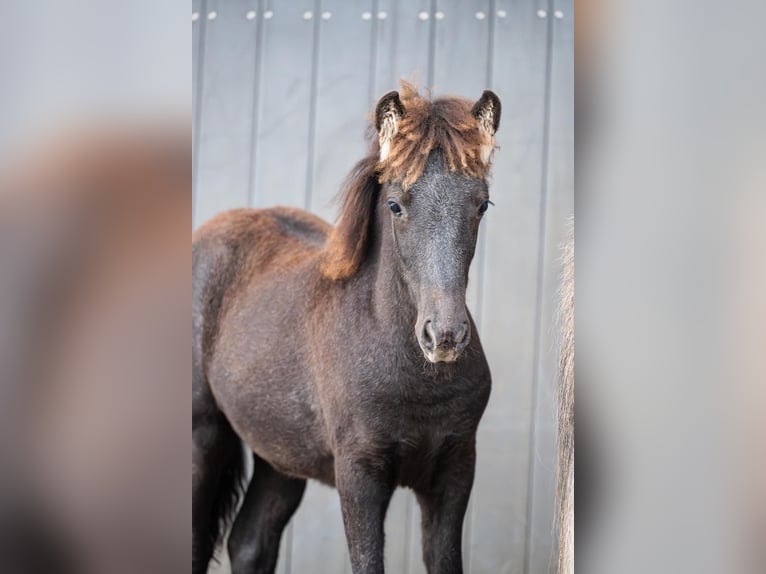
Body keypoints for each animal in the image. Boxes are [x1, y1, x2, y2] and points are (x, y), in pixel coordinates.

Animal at [192, 82, 501, 574]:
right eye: (395, 205)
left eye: (481, 204)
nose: (445, 337)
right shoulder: (359, 474)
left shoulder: (454, 471)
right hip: (203, 436)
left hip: (280, 455)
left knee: (250, 542)